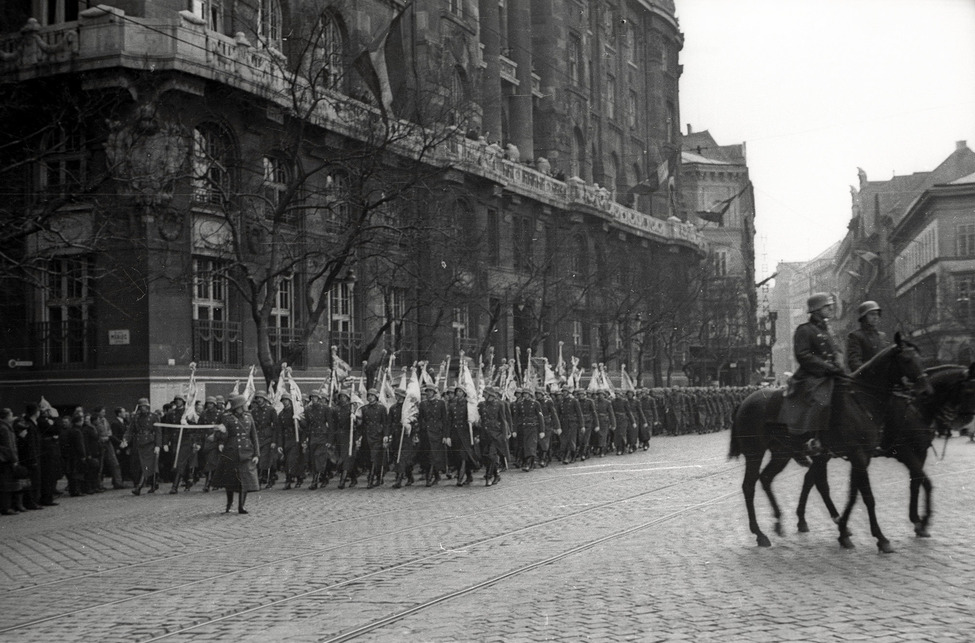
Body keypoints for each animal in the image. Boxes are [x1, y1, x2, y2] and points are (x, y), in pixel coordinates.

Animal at [732, 338, 932, 552]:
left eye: (920, 359)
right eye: (906, 359)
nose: (925, 391)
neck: (861, 400)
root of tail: (745, 402)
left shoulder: (863, 457)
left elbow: (854, 493)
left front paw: (844, 531)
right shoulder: (860, 454)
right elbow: (867, 496)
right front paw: (881, 538)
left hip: (782, 453)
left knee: (768, 478)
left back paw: (779, 521)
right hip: (755, 453)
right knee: (749, 485)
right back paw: (760, 534)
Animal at [796, 362, 972, 540]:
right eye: (970, 389)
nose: (966, 425)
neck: (916, 407)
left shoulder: (920, 452)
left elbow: (916, 482)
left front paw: (916, 520)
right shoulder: (905, 452)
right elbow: (924, 481)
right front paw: (923, 521)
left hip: (824, 454)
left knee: (811, 479)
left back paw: (814, 519)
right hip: (824, 454)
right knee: (816, 481)